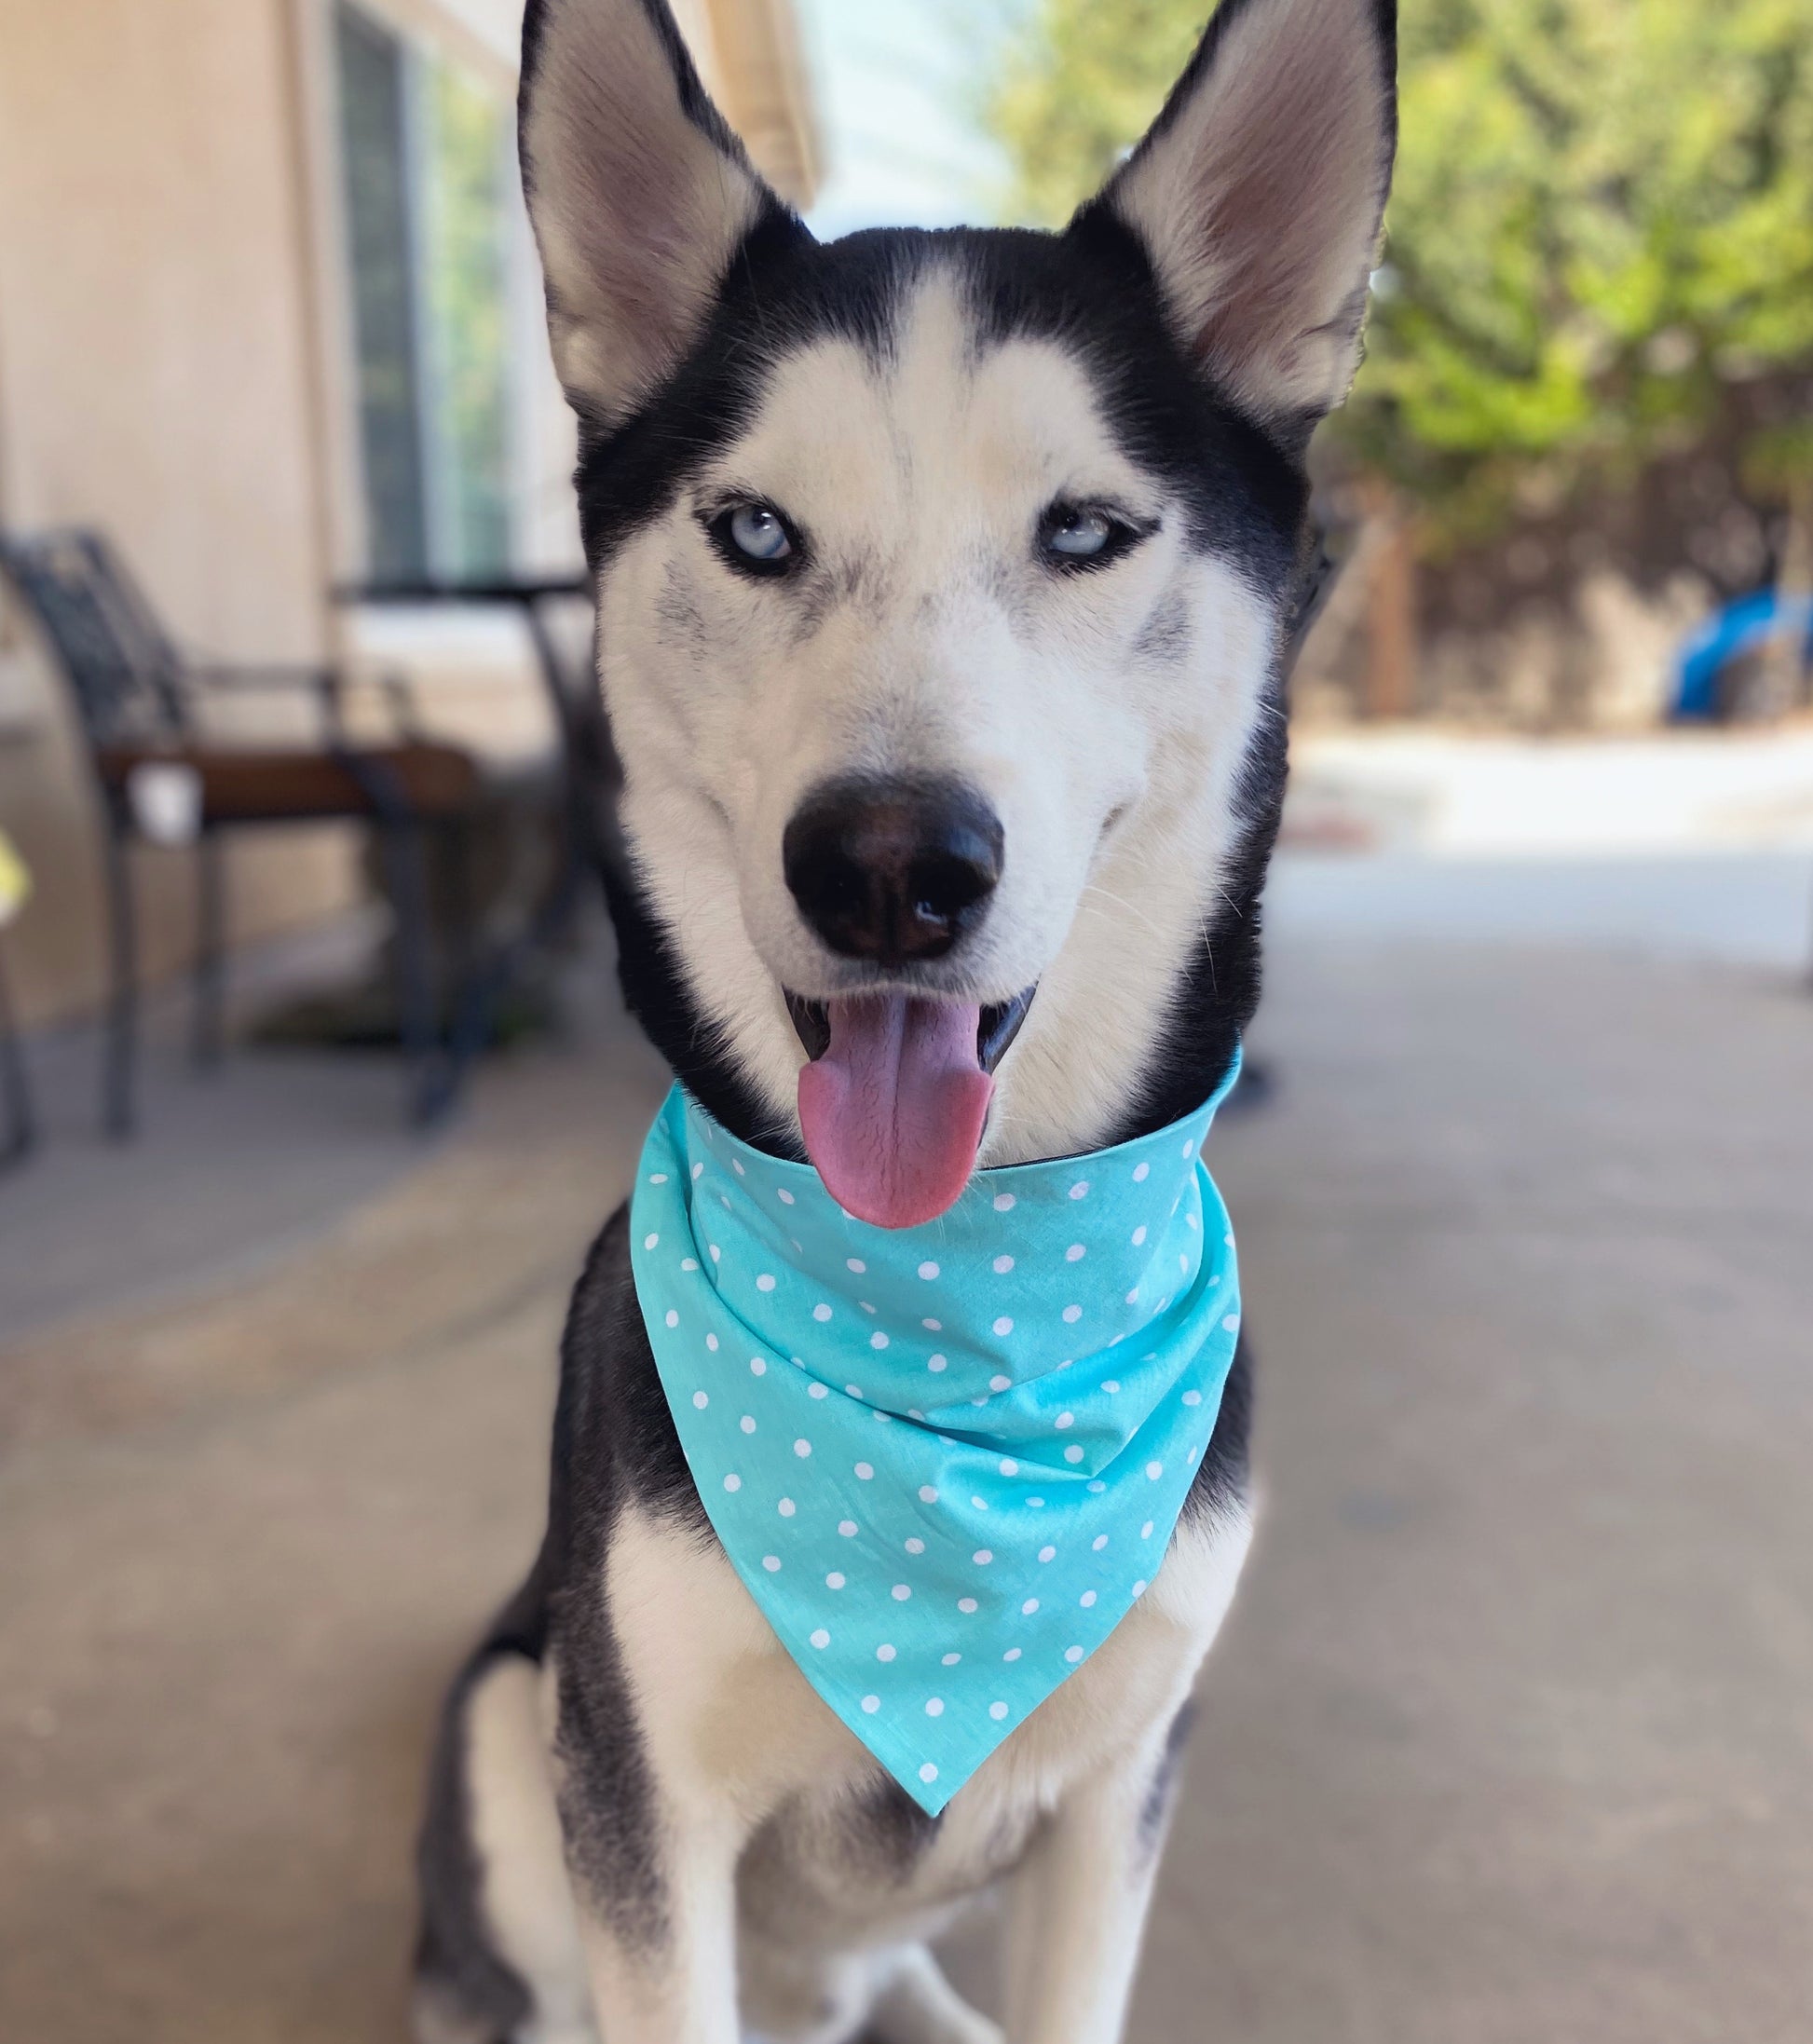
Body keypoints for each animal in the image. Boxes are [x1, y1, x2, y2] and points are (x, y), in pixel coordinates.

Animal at [415, 0, 1406, 2036]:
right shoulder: (637, 1801)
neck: (962, 1305)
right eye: (753, 529)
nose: (887, 865)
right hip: (505, 1715)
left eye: (1087, 529)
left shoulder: (1122, 1788)